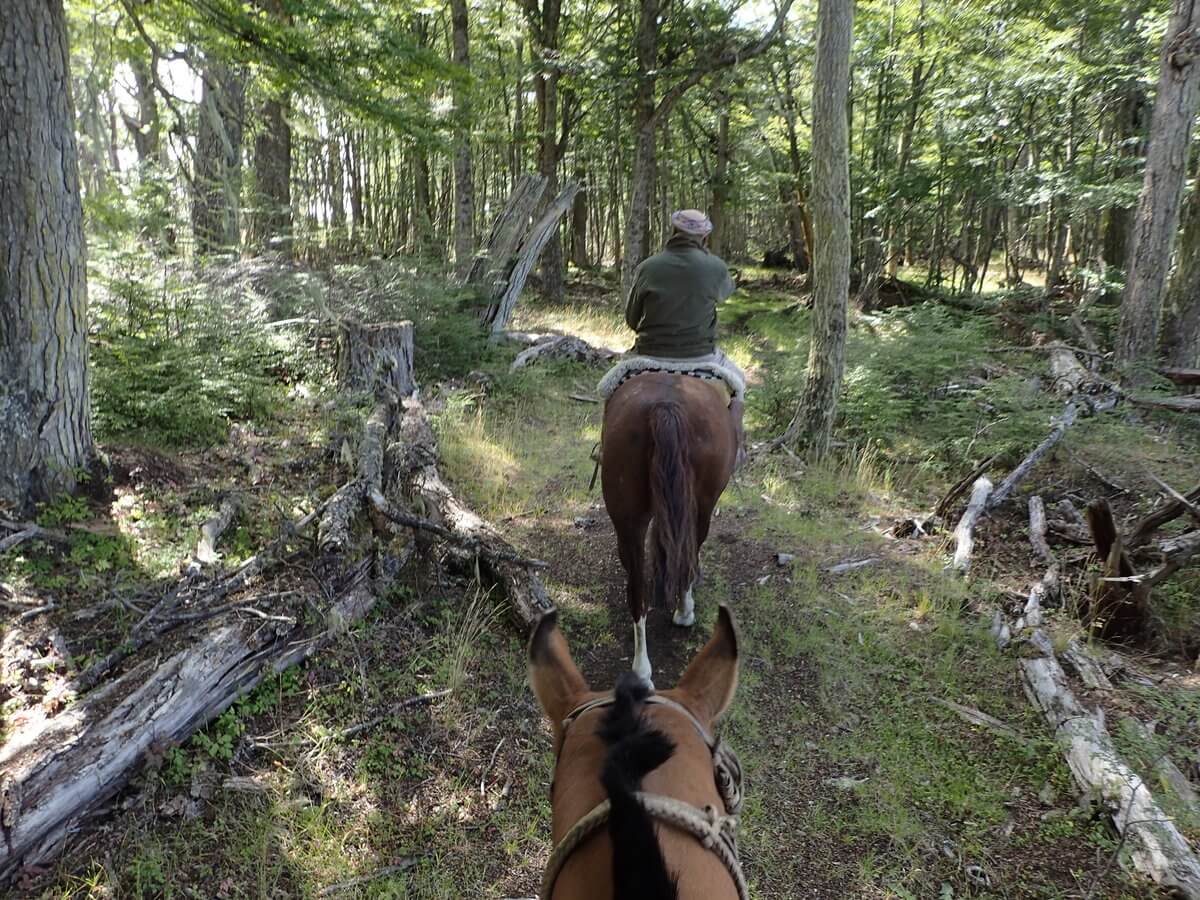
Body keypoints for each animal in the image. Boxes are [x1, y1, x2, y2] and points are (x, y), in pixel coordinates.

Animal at [604, 374, 734, 681]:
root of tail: (665, 406)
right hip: (699, 506)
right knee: (688, 553)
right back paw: (683, 613)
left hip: (629, 519)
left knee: (638, 587)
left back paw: (641, 669)